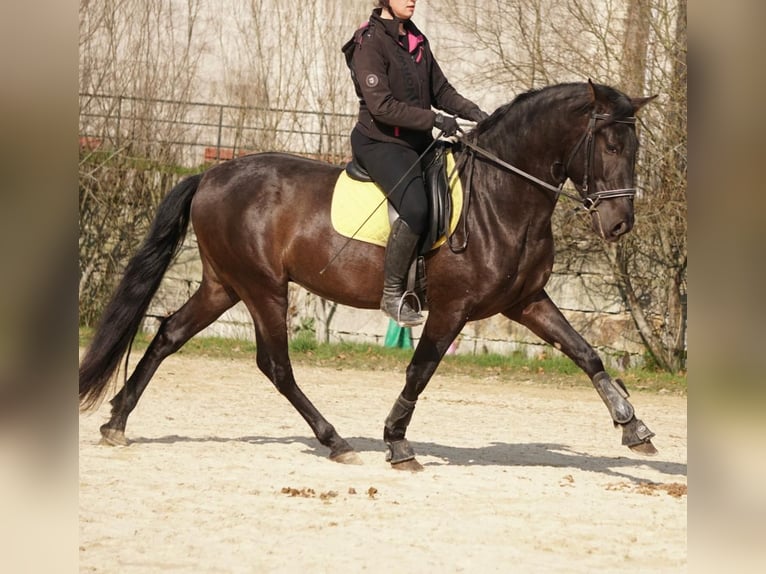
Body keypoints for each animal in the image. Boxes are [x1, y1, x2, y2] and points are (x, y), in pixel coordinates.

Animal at [81, 81, 664, 470]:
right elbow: (420, 371)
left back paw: (116, 423)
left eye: (635, 148)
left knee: (169, 334)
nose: (619, 224)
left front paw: (633, 425)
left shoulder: (527, 300)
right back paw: (335, 441)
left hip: (223, 285)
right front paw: (396, 441)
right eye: (611, 146)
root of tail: (210, 174)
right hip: (263, 289)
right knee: (276, 366)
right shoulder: (452, 308)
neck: (500, 196)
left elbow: (585, 352)